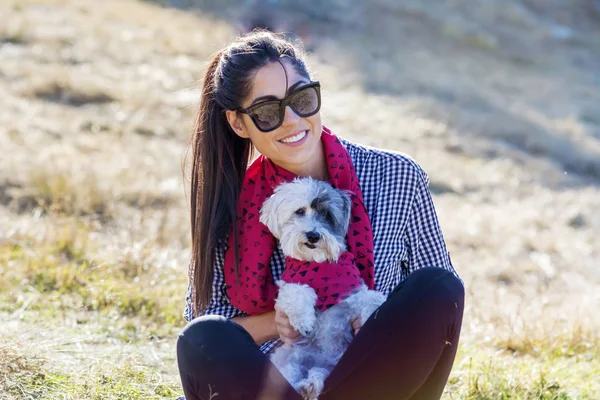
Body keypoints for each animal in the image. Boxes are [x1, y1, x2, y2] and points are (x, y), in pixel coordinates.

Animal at [258, 177, 384, 400]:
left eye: (327, 214)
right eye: (299, 211)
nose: (313, 235)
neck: (318, 263)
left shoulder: (351, 292)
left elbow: (370, 298)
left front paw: (373, 314)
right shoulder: (289, 285)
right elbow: (299, 292)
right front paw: (305, 321)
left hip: (331, 367)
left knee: (318, 375)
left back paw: (310, 385)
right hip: (287, 360)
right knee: (291, 377)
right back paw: (303, 387)